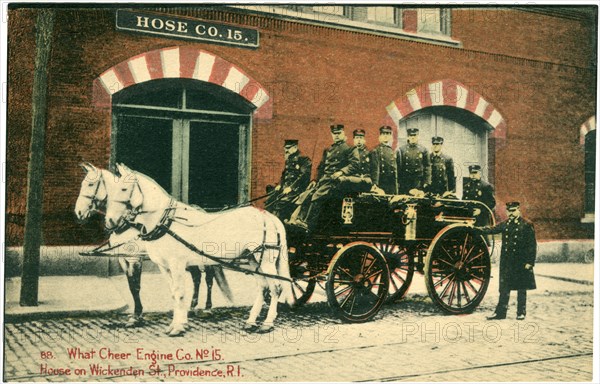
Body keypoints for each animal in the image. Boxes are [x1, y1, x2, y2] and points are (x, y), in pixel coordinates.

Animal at [103, 164, 296, 334]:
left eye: (123, 189)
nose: (110, 221)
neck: (166, 222)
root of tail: (268, 216)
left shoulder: (177, 264)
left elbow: (180, 293)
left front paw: (178, 327)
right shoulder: (163, 266)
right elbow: (173, 293)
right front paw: (177, 324)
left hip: (266, 261)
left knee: (276, 287)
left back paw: (267, 324)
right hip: (253, 259)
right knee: (262, 287)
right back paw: (251, 321)